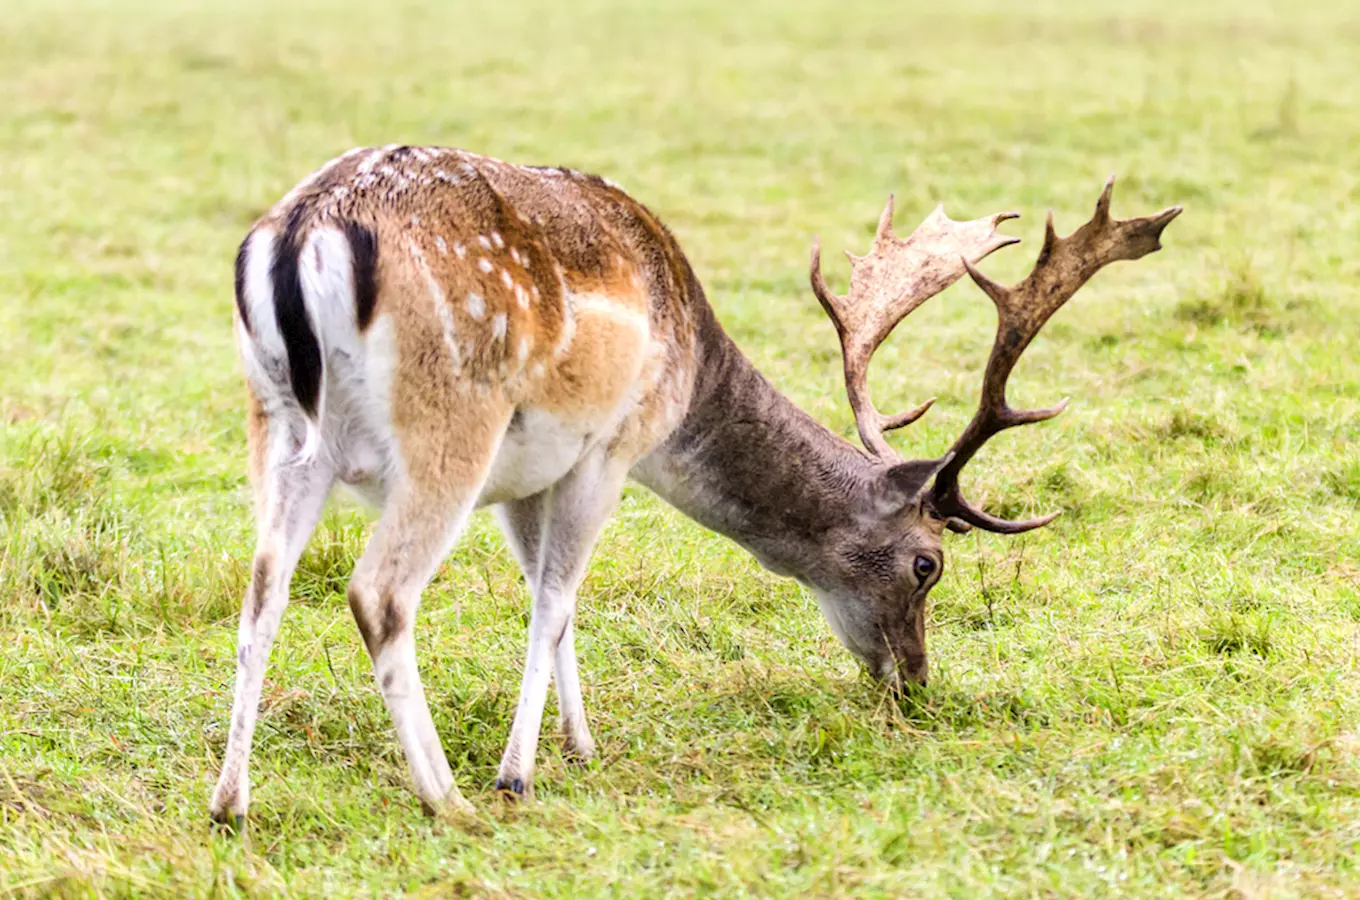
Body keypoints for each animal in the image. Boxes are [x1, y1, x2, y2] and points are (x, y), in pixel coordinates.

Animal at [209, 142, 1180, 832]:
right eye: (926, 566)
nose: (913, 682)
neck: (692, 372)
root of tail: (300, 235)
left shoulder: (532, 475)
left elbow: (552, 600)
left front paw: (581, 746)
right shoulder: (610, 446)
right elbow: (555, 601)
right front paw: (521, 773)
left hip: (280, 429)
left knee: (262, 589)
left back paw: (231, 802)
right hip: (451, 422)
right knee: (378, 592)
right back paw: (449, 798)